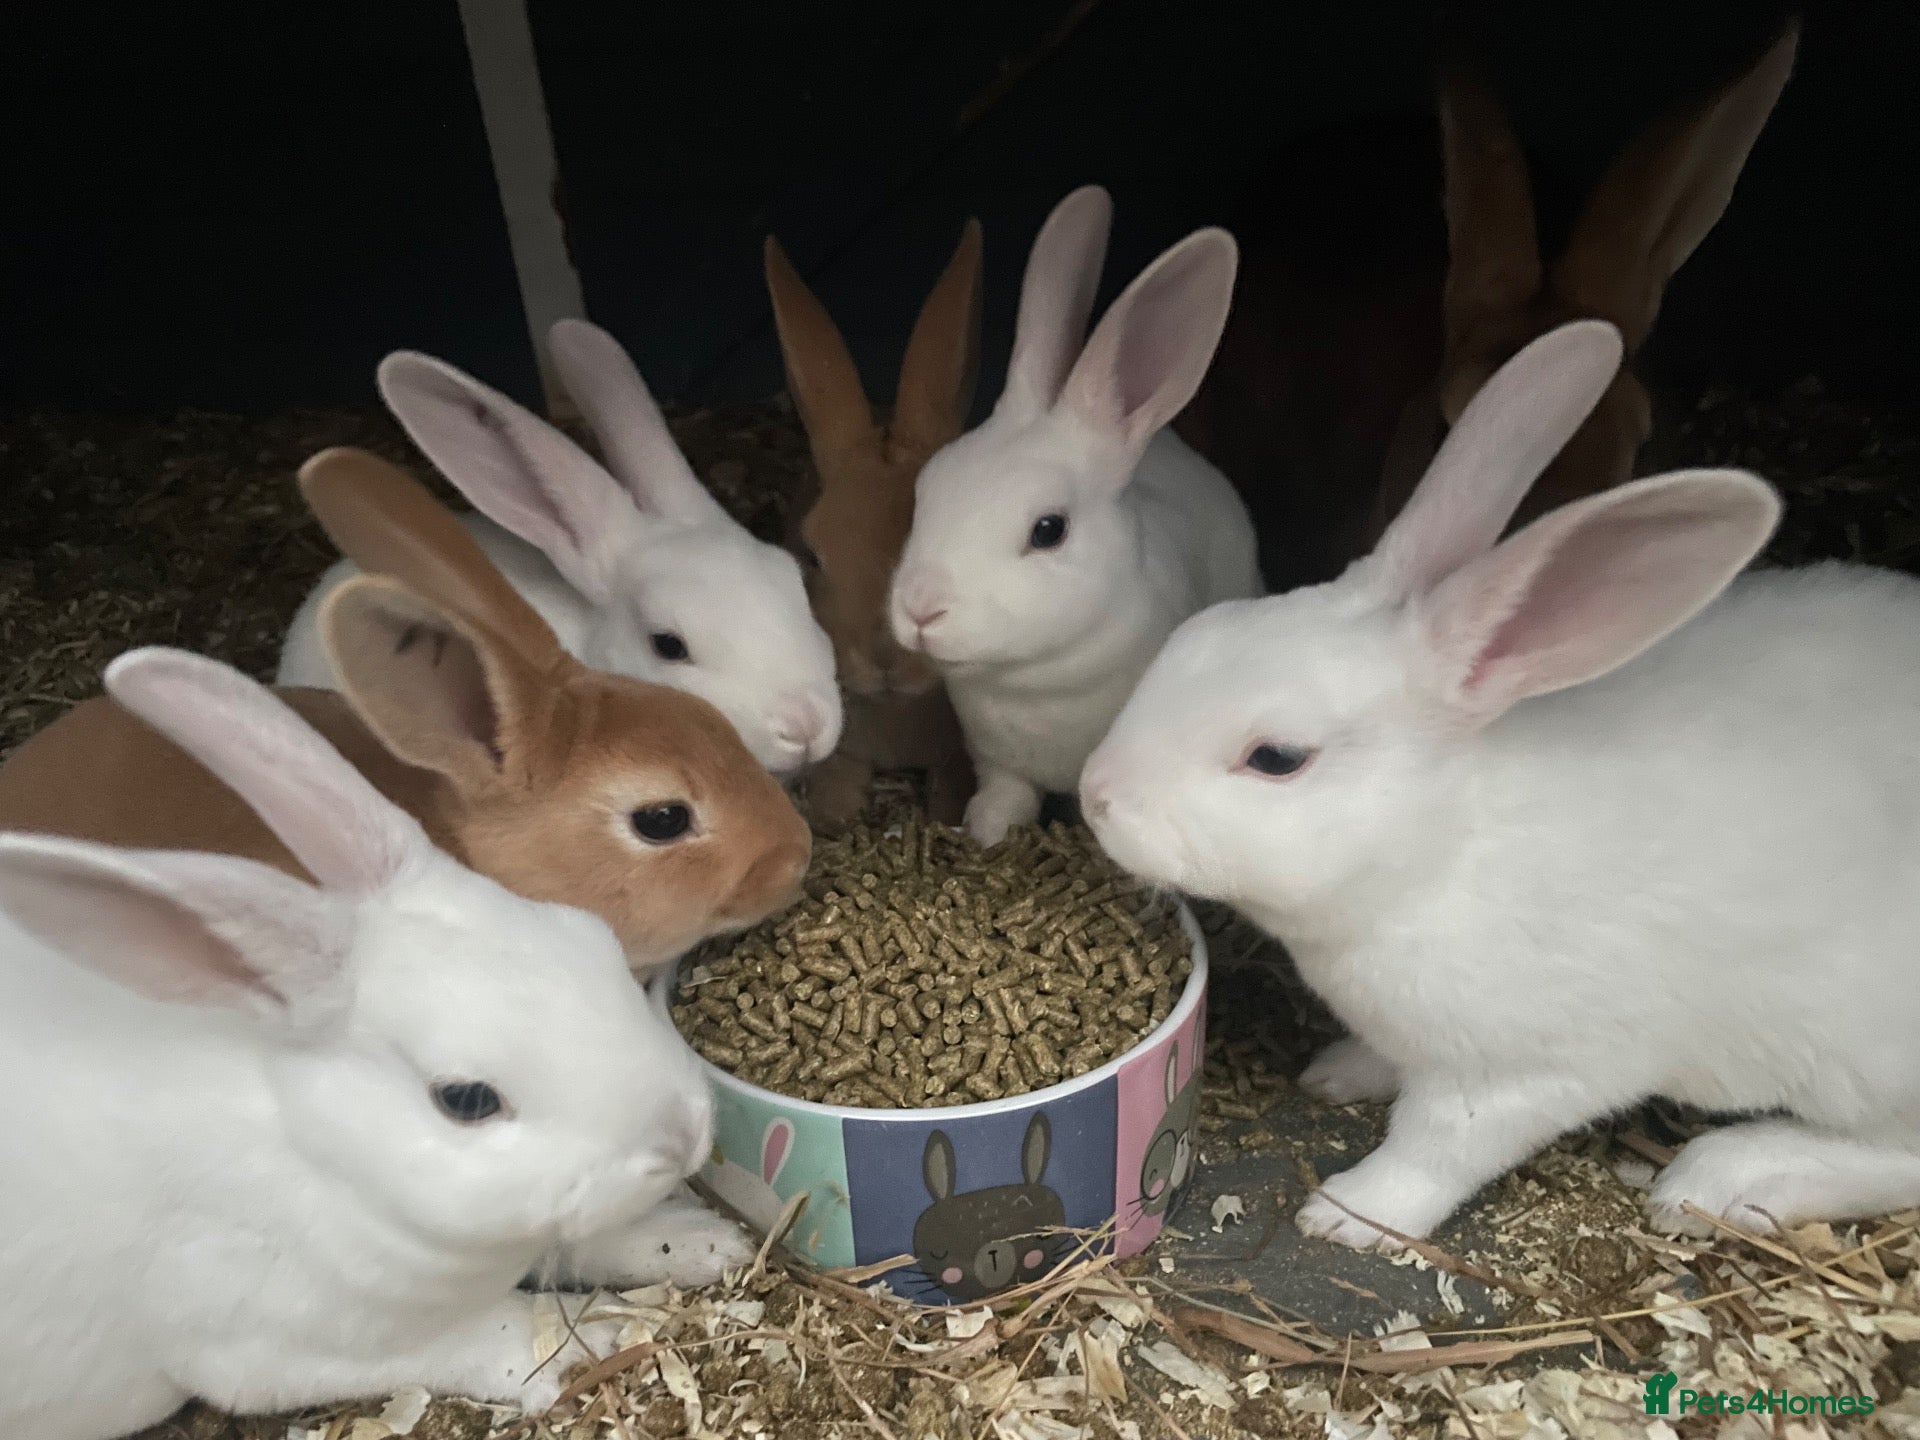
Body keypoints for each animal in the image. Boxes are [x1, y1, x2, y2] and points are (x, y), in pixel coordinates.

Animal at [0, 646, 726, 1439]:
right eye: (465, 1100)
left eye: (591, 938)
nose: (684, 1135)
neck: (324, 1149)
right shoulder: (274, 1345)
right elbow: (493, 1331)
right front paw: (586, 1342)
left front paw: (705, 1241)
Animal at [888, 186, 1262, 846]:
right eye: (927, 488)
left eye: (1048, 530)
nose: (921, 609)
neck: (1037, 682)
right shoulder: (996, 758)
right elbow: (1004, 799)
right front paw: (985, 835)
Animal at [1080, 317, 1920, 1251]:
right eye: (1192, 637)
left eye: (1278, 758)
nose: (1094, 794)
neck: (1439, 846)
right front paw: (1338, 1074)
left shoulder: (1524, 1072)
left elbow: (1436, 1151)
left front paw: (1347, 1214)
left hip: (1863, 1059)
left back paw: (1726, 1178)